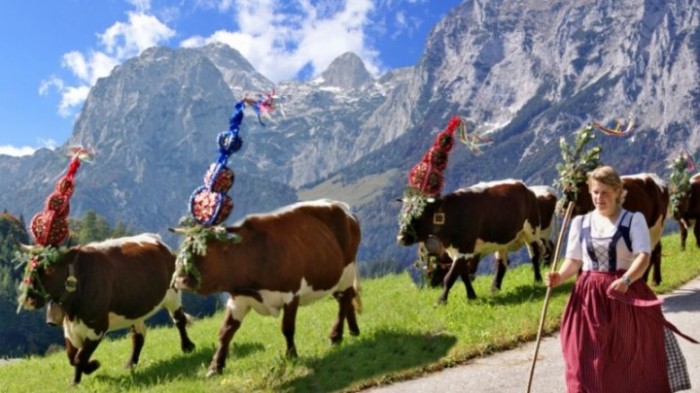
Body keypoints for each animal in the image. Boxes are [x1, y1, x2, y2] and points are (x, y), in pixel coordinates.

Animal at [19, 231, 194, 384]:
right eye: (28, 266)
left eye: (49, 268)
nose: (28, 299)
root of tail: (157, 240)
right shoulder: (69, 329)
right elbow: (71, 357)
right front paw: (81, 375)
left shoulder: (98, 326)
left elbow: (80, 357)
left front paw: (88, 370)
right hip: (134, 309)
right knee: (138, 336)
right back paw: (130, 364)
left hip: (173, 294)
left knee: (179, 320)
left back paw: (187, 347)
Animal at [172, 199, 364, 376]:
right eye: (182, 250)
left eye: (205, 251)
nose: (180, 280)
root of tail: (342, 206)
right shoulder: (238, 299)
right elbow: (225, 331)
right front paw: (215, 366)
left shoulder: (291, 294)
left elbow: (287, 328)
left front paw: (291, 355)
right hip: (334, 277)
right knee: (346, 297)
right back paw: (353, 330)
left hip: (347, 270)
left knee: (345, 299)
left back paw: (336, 336)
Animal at [396, 179, 544, 302]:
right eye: (402, 215)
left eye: (418, 216)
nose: (401, 238)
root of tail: (522, 185)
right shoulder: (460, 252)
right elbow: (463, 275)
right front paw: (471, 296)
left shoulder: (464, 249)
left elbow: (450, 277)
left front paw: (441, 301)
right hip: (502, 240)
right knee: (502, 264)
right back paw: (494, 288)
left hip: (531, 230)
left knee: (535, 254)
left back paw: (538, 281)